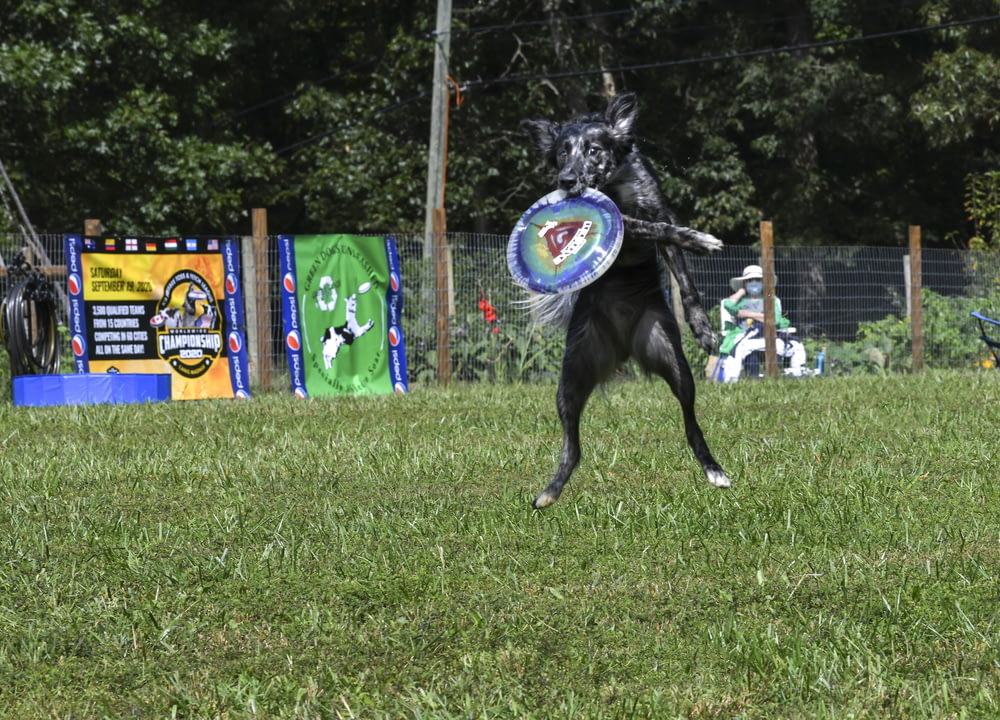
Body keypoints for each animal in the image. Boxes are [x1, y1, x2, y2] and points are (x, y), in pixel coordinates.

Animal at [524, 93, 728, 510]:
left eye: (594, 149)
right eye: (562, 152)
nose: (566, 181)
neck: (615, 184)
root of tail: (622, 349)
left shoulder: (656, 205)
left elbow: (681, 269)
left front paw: (703, 328)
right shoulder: (624, 221)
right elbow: (653, 227)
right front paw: (700, 239)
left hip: (674, 362)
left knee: (691, 425)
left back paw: (714, 470)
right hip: (570, 379)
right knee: (572, 448)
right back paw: (549, 492)